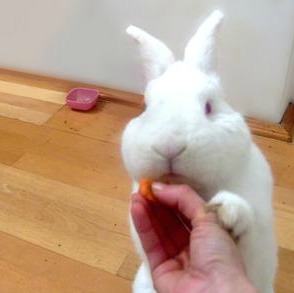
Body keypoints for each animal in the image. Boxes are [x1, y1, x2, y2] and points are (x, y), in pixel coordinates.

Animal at [121, 10, 278, 292]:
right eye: (145, 107)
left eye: (208, 107)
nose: (169, 147)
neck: (197, 187)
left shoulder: (257, 234)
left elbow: (247, 227)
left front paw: (227, 211)